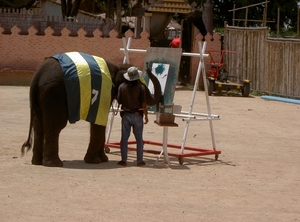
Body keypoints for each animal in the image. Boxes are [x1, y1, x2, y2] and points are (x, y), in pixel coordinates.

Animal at [21, 51, 162, 166]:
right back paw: (54, 164)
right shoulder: (104, 91)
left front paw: (103, 159)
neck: (118, 67)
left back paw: (37, 162)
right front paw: (95, 161)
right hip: (53, 94)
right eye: (141, 85)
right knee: (55, 127)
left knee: (38, 126)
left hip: (39, 97)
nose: (149, 67)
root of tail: (38, 74)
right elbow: (98, 122)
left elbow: (101, 123)